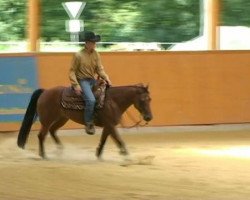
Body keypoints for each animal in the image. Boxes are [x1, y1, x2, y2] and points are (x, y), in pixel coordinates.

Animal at [17, 83, 152, 159]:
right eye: (143, 99)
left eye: (150, 99)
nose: (149, 117)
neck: (112, 101)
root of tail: (45, 92)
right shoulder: (110, 125)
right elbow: (119, 140)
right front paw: (126, 156)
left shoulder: (108, 126)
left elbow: (104, 140)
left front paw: (98, 154)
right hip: (46, 120)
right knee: (42, 135)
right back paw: (43, 155)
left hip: (62, 118)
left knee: (52, 131)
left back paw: (60, 150)